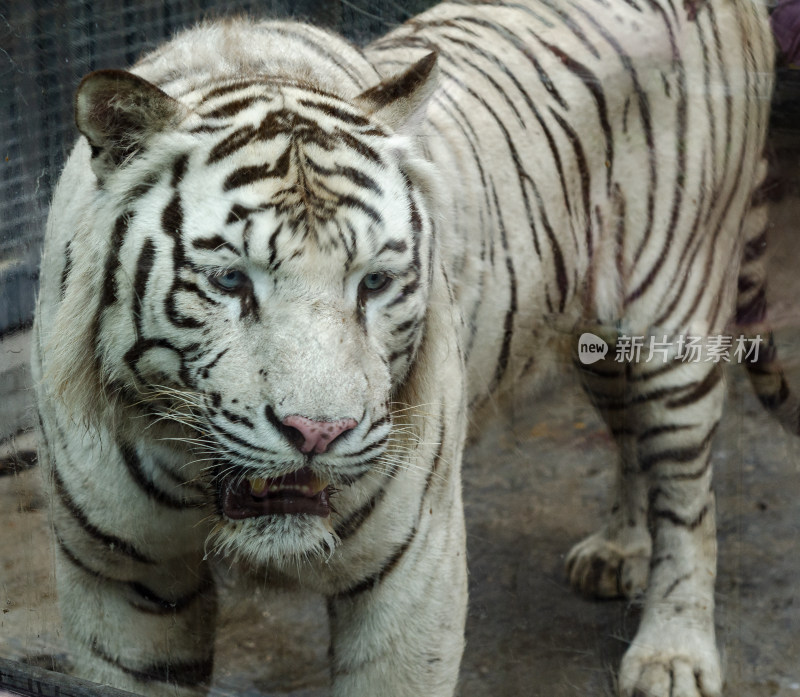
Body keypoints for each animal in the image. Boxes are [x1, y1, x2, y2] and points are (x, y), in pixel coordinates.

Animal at [31, 1, 776, 696]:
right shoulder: (122, 582)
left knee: (689, 497)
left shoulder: (414, 567)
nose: (318, 432)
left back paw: (672, 653)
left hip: (673, 322)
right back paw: (620, 548)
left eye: (374, 282)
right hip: (601, 344)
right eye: (230, 280)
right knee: (629, 437)